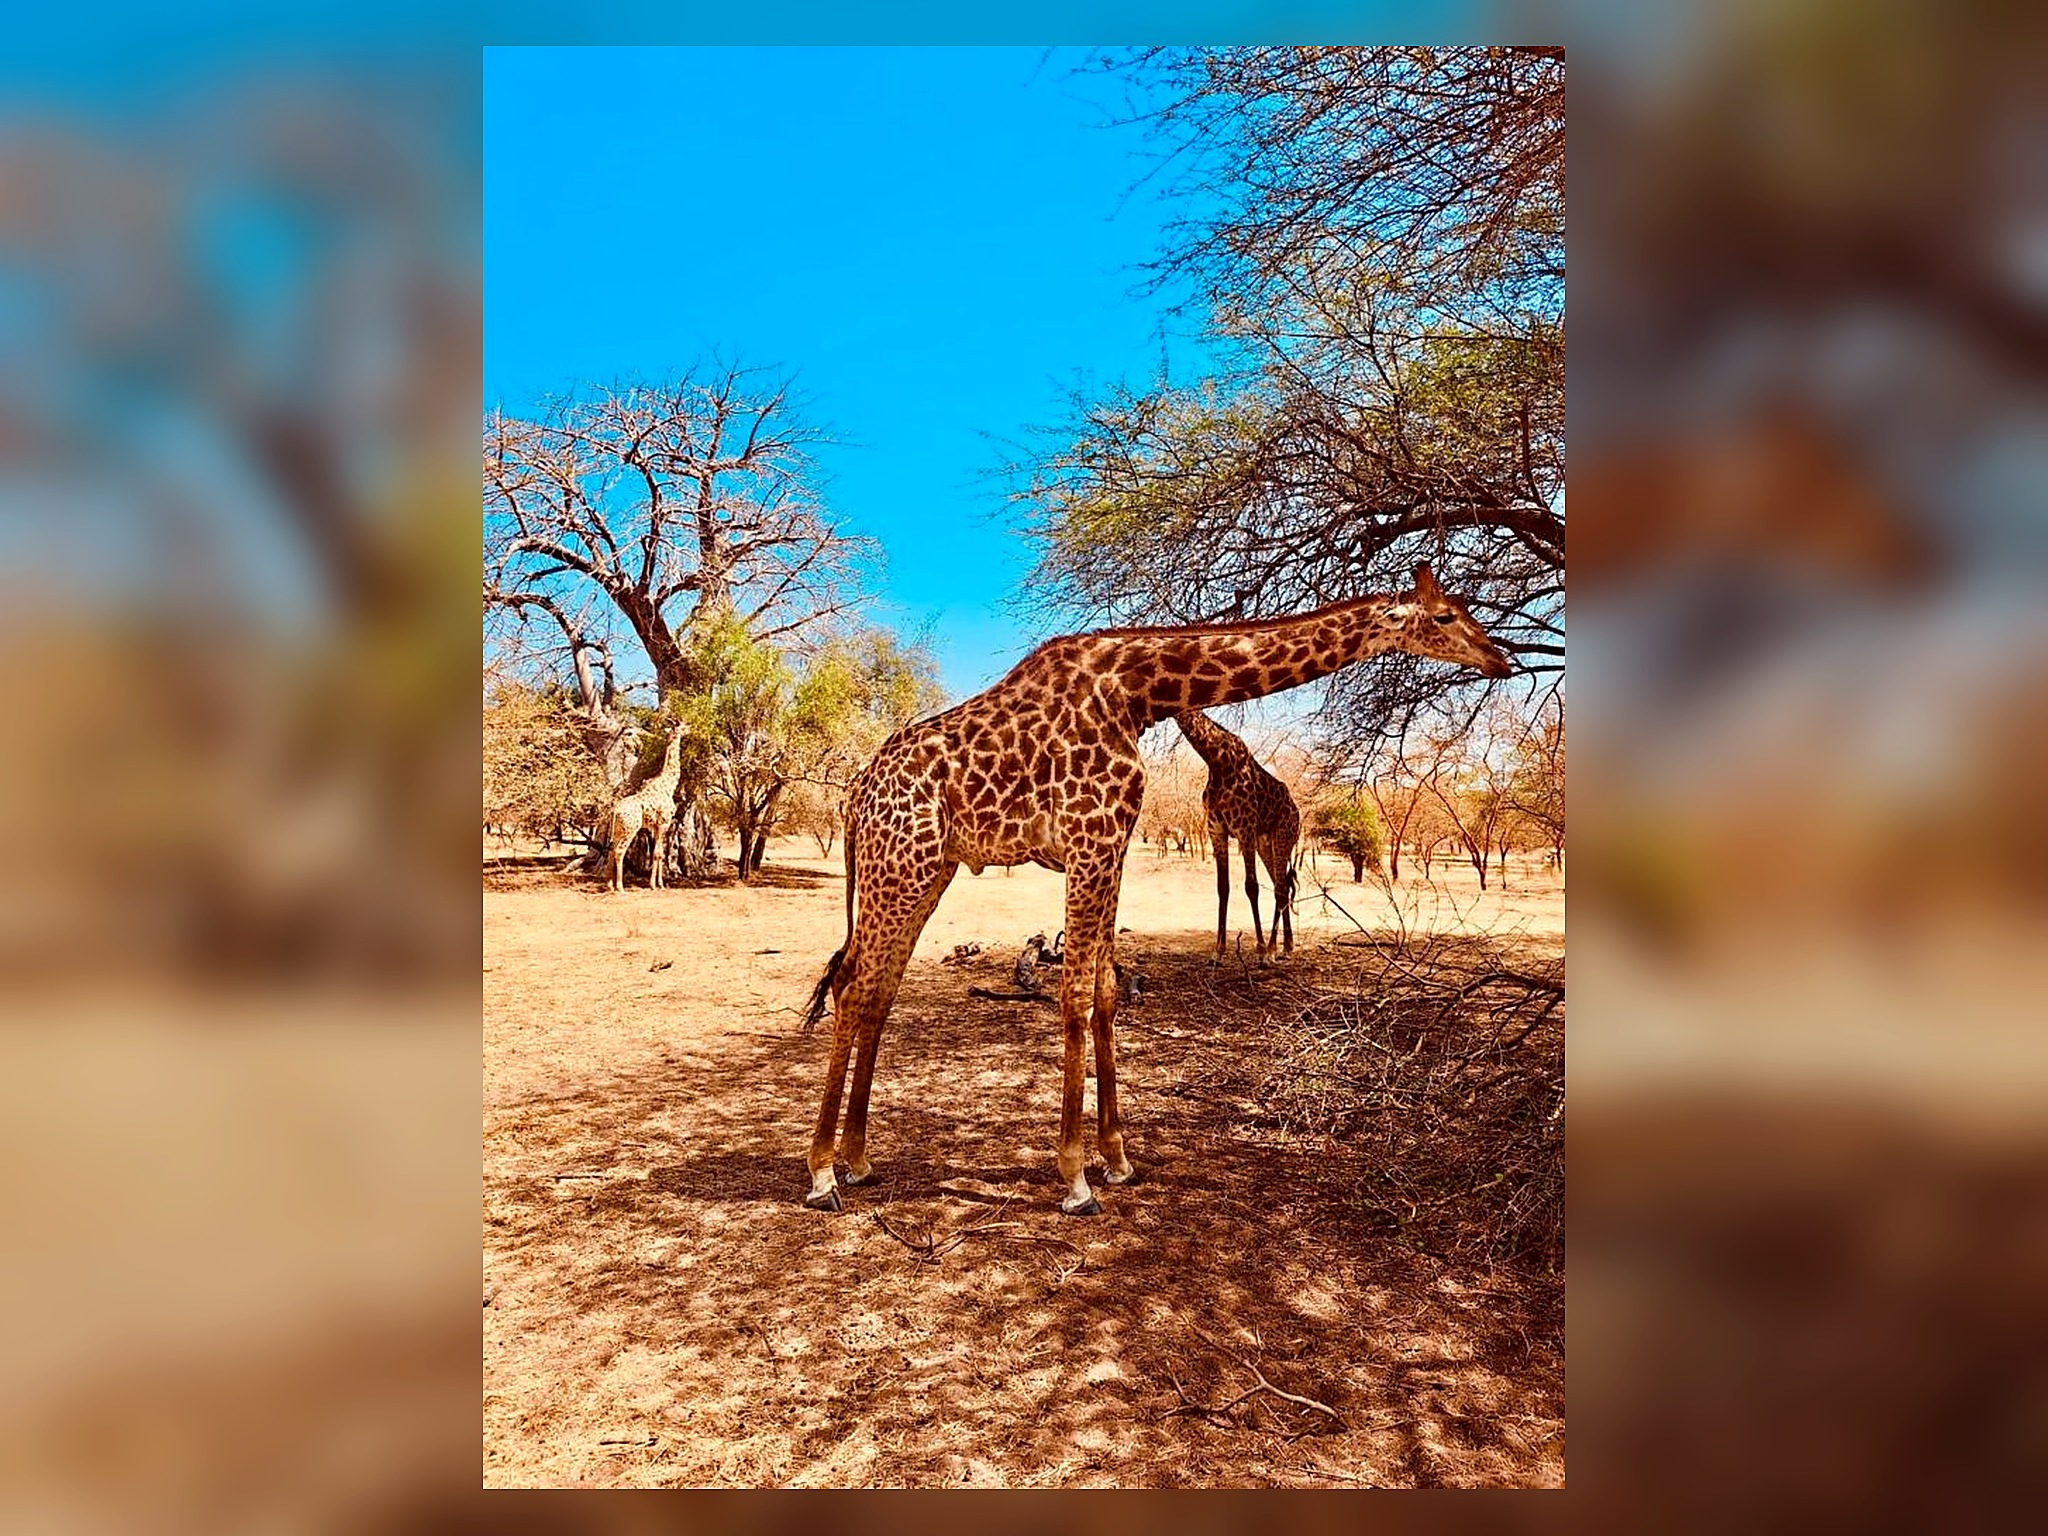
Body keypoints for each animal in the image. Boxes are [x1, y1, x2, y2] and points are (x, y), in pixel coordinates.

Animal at [609, 727, 684, 892]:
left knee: (611, 850)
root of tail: (616, 811)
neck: (669, 784)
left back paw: (610, 885)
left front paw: (658, 884)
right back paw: (620, 887)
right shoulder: (663, 823)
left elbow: (659, 854)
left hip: (618, 830)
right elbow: (657, 854)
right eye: (682, 727)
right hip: (630, 829)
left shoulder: (655, 827)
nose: (689, 729)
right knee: (620, 851)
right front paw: (655, 885)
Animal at [1174, 708, 1302, 964]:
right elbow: (1222, 888)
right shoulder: (1216, 831)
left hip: (1284, 837)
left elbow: (1251, 887)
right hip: (1266, 844)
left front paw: (1260, 950)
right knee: (1281, 887)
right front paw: (1218, 951)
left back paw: (1271, 952)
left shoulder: (1244, 829)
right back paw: (1286, 947)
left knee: (1280, 888)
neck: (1216, 761)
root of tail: (1297, 814)